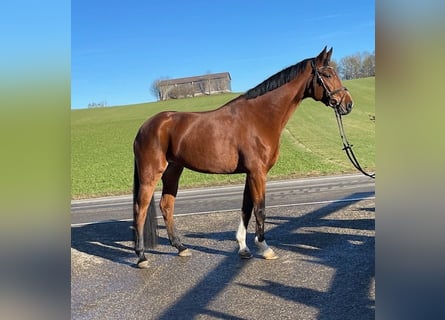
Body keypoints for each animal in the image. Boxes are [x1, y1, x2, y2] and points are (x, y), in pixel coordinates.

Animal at [132, 47, 350, 268]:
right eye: (327, 75)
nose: (348, 104)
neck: (260, 117)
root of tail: (144, 127)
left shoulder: (250, 174)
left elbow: (246, 208)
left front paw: (244, 248)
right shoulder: (257, 173)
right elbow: (260, 209)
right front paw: (265, 248)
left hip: (173, 171)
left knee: (166, 206)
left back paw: (180, 247)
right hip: (151, 173)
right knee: (140, 209)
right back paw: (141, 256)